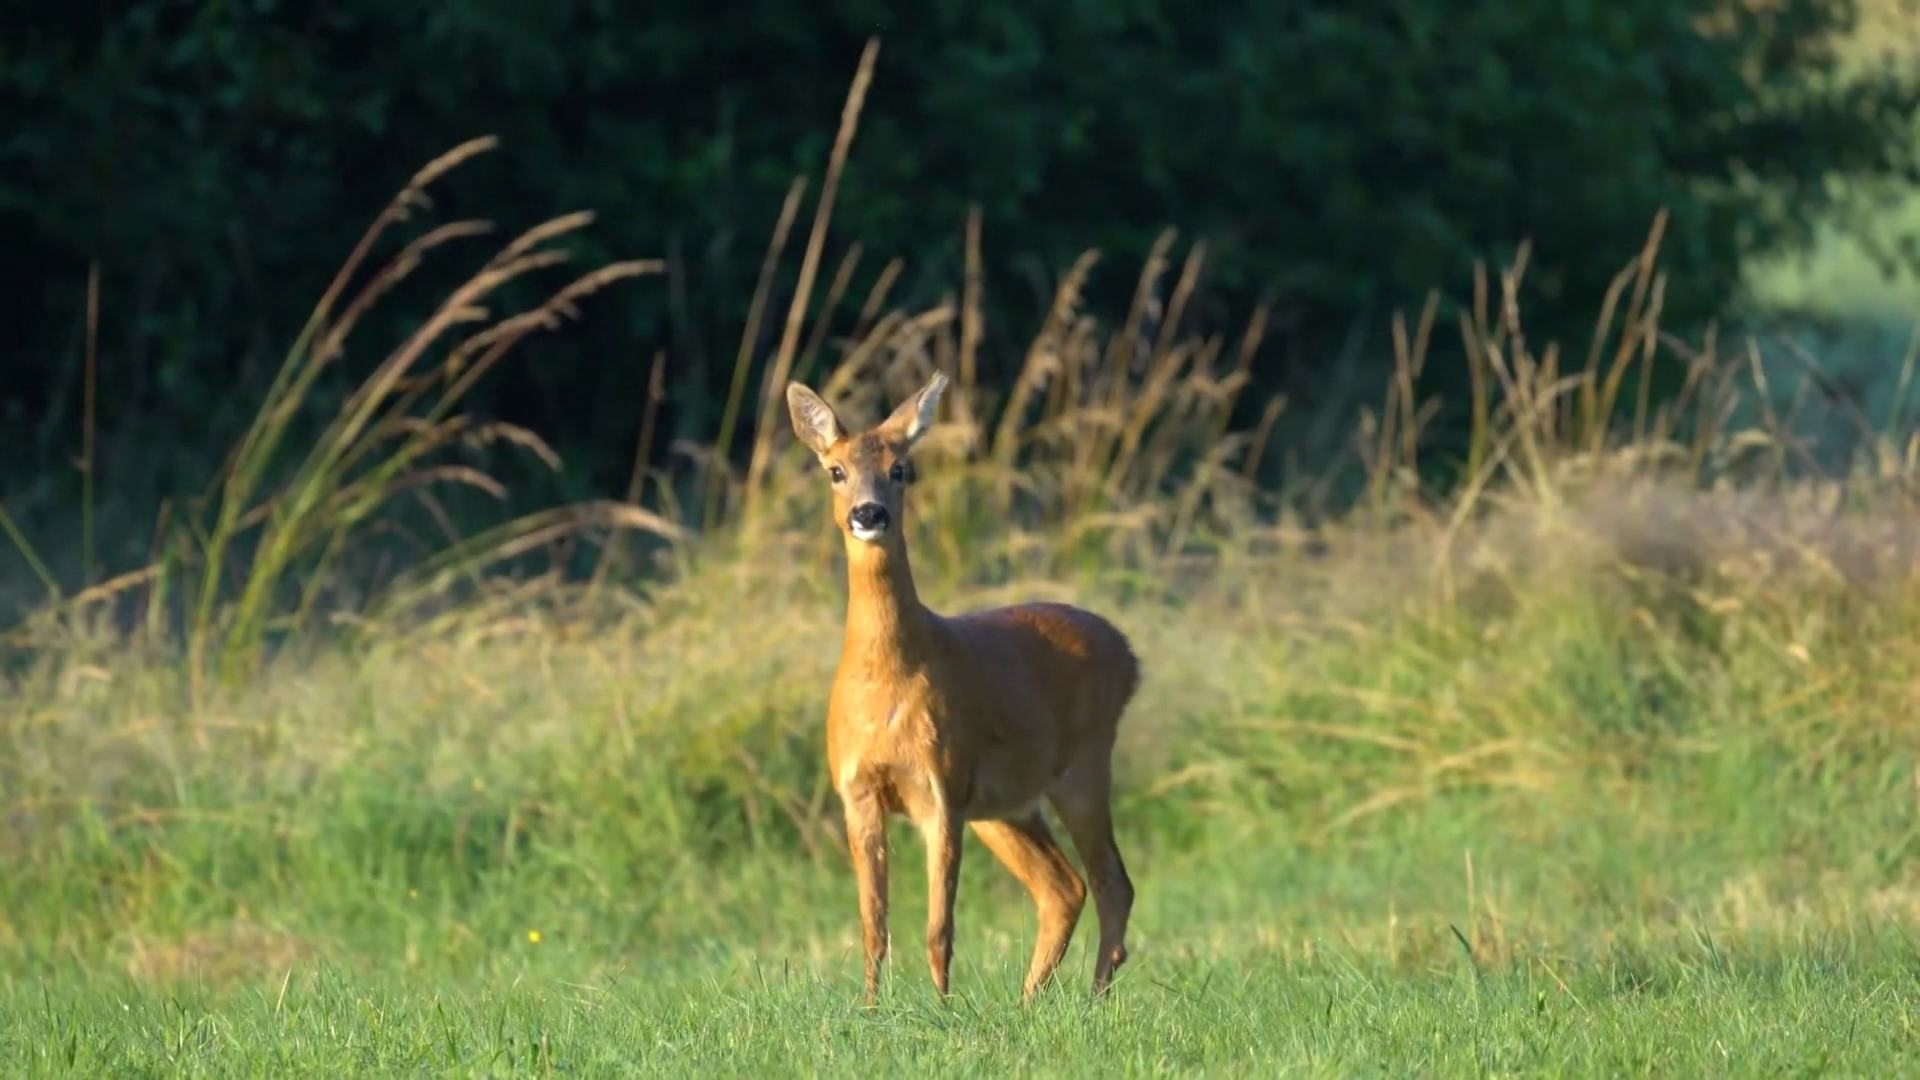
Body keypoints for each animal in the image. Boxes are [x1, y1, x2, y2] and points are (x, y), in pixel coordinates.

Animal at [783, 367, 1136, 999]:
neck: (887, 681)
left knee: (1111, 882)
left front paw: (942, 1009)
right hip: (1005, 804)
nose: (869, 514)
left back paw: (1092, 999)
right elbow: (873, 927)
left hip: (1082, 765)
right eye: (835, 470)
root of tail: (1127, 652)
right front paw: (870, 1010)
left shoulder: (939, 787)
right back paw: (1030, 1002)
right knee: (1064, 886)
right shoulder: (858, 790)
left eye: (901, 468)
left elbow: (938, 928)